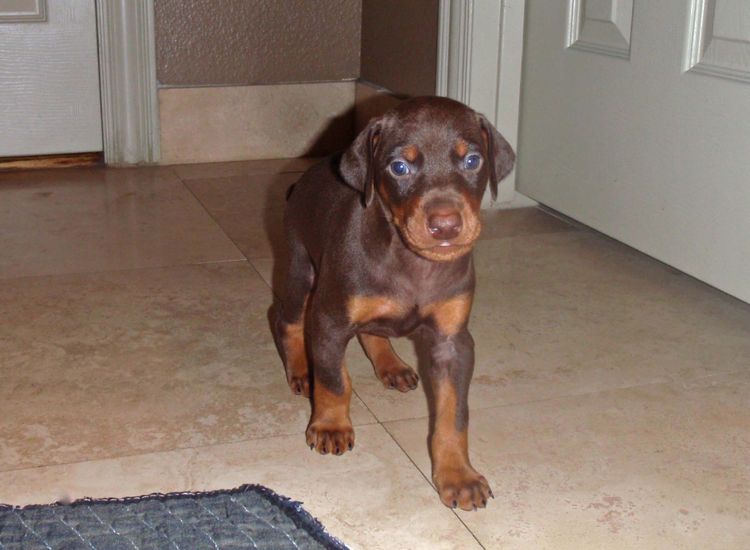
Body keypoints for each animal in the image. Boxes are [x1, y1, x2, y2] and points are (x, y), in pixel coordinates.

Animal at [272, 96, 516, 512]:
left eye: (473, 161)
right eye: (399, 167)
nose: (446, 225)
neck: (411, 262)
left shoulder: (453, 342)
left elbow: (454, 414)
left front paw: (458, 476)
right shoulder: (330, 320)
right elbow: (335, 380)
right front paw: (330, 425)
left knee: (373, 330)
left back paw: (392, 366)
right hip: (299, 269)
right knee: (285, 319)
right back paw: (302, 371)